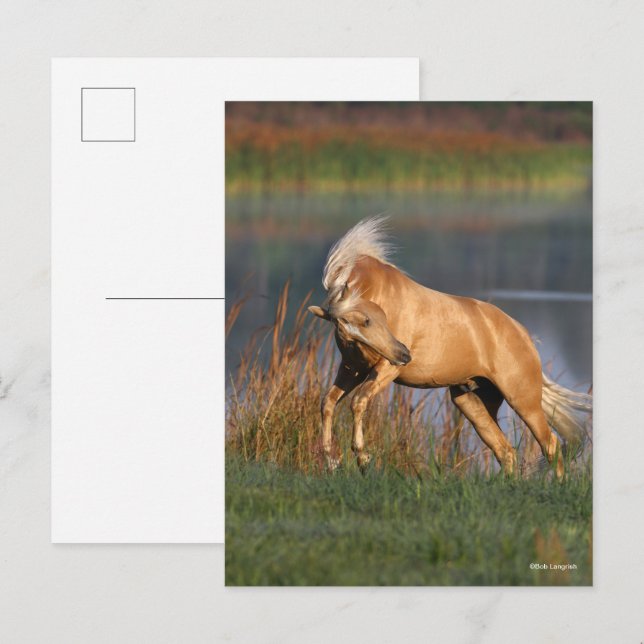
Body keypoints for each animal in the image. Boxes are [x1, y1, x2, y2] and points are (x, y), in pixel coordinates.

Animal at [308, 216, 592, 478]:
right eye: (343, 330)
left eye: (368, 321)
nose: (404, 355)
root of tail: (524, 335)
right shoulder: (351, 368)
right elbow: (328, 403)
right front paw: (332, 461)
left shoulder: (385, 369)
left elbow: (358, 401)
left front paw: (363, 458)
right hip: (471, 402)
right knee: (506, 451)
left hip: (523, 400)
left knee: (550, 444)